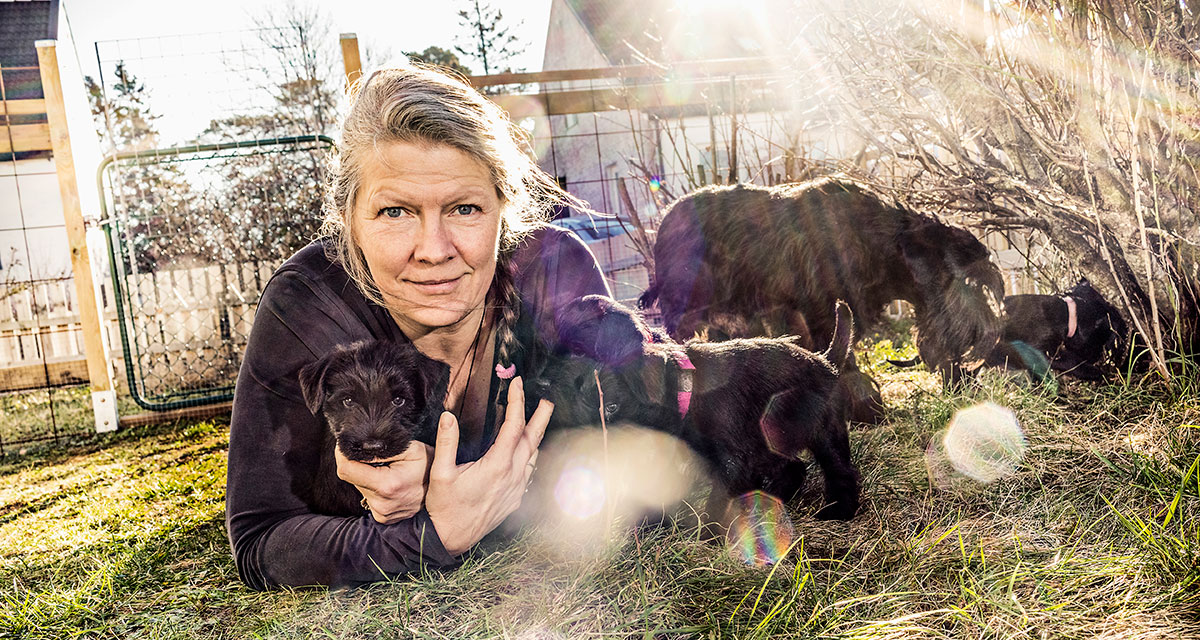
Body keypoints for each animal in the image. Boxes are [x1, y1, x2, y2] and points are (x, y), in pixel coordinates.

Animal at [537, 294, 864, 518]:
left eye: (612, 408)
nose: (541, 381)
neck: (688, 393)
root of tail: (826, 361)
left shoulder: (733, 460)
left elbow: (717, 500)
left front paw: (707, 534)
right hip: (770, 443)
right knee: (794, 468)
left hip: (824, 432)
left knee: (840, 470)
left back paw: (839, 511)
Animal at [643, 177, 1008, 422]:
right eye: (961, 279)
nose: (966, 380)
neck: (879, 243)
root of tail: (663, 222)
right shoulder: (823, 313)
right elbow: (842, 363)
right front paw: (863, 411)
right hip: (685, 312)